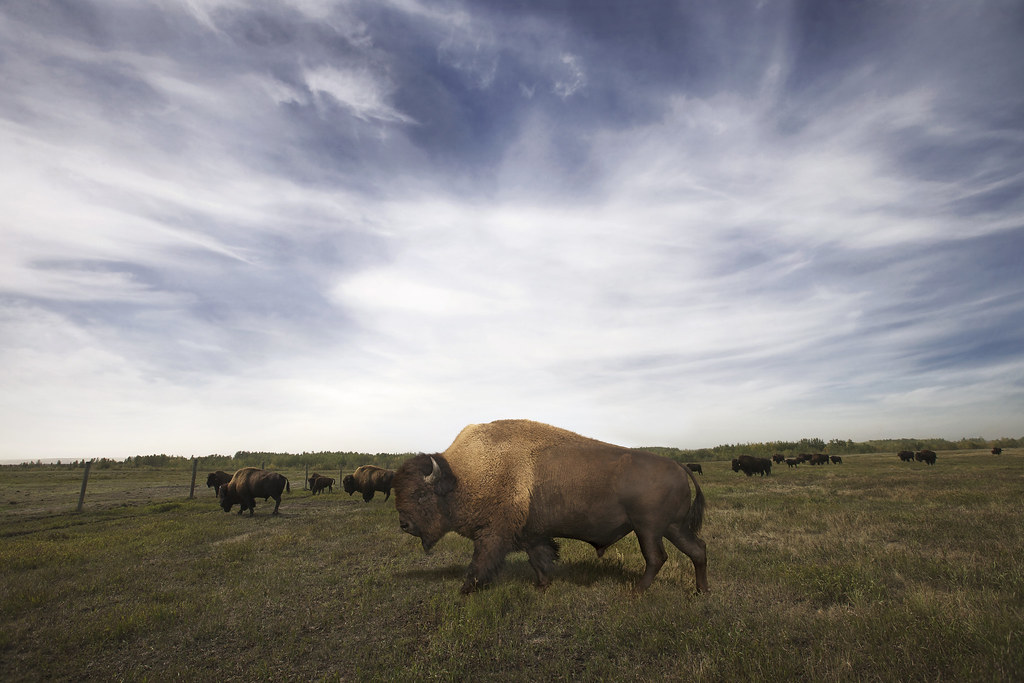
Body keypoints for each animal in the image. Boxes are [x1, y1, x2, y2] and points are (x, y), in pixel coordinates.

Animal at [395, 419, 708, 593]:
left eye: (420, 494)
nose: (404, 524)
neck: (463, 475)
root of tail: (679, 465)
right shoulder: (531, 534)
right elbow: (539, 559)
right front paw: (542, 585)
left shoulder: (493, 534)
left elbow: (480, 564)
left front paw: (465, 590)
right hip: (672, 528)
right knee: (698, 550)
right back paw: (700, 591)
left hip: (649, 530)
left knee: (657, 558)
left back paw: (637, 592)